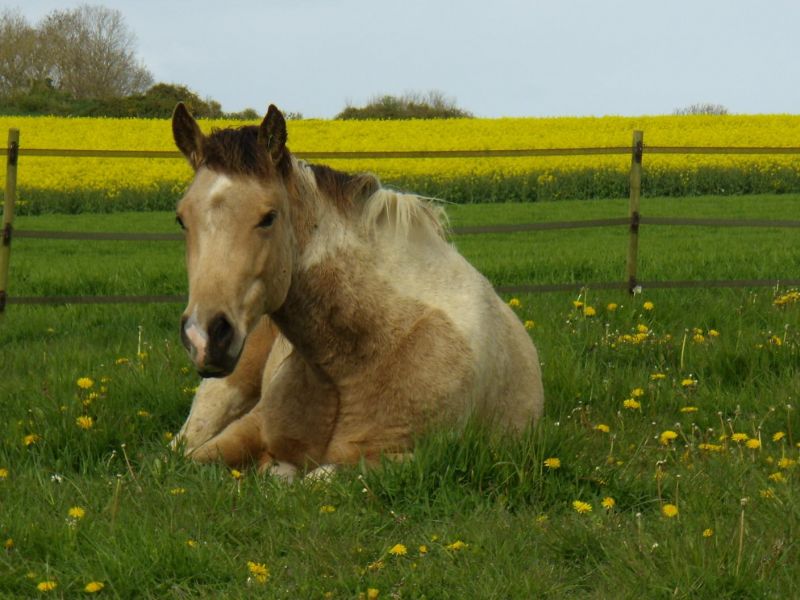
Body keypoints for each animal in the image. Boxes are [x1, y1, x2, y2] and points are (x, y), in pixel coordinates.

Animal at [171, 102, 544, 478]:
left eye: (269, 217)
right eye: (181, 219)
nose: (204, 336)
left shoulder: (408, 459)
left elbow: (314, 477)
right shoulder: (249, 427)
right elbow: (184, 463)